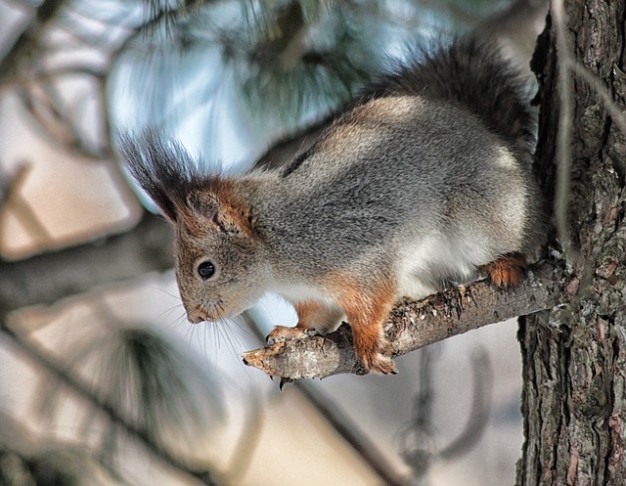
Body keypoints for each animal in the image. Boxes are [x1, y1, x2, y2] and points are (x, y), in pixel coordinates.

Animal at [119, 38, 544, 374]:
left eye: (206, 268)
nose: (194, 317)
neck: (276, 252)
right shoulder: (311, 296)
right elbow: (315, 319)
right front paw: (291, 332)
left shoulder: (357, 255)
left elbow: (369, 302)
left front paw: (367, 343)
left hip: (480, 215)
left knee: (517, 244)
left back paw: (505, 263)